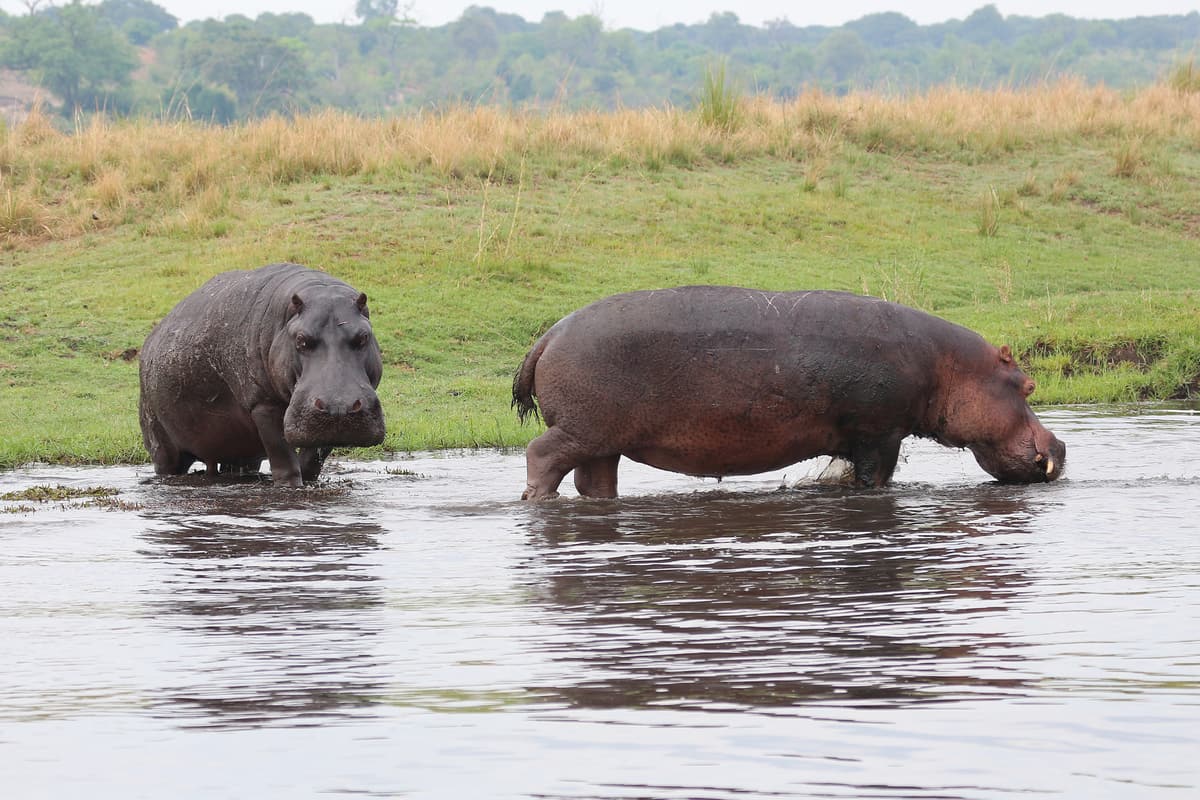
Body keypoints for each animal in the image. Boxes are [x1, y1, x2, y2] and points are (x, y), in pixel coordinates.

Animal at [139, 263, 386, 486]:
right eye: (301, 339)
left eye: (364, 336)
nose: (338, 406)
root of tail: (152, 337)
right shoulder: (262, 404)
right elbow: (283, 457)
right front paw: (289, 487)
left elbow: (312, 460)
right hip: (160, 443)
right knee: (166, 464)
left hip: (237, 446)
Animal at [512, 286, 1065, 499]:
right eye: (1028, 384)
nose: (1060, 445)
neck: (949, 367)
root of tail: (548, 335)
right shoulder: (880, 432)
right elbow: (877, 478)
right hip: (581, 428)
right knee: (541, 454)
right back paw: (536, 499)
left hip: (603, 439)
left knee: (594, 481)